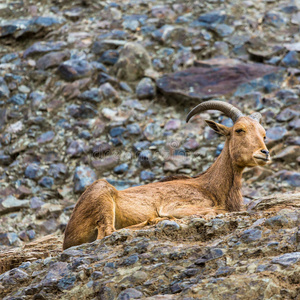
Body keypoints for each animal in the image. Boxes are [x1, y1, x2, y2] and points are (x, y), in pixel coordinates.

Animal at [62, 99, 270, 250]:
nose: (264, 153)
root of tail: (67, 237)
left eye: (264, 134)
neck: (210, 186)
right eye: (239, 130)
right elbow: (216, 211)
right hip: (102, 193)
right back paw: (155, 221)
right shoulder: (176, 206)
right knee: (107, 232)